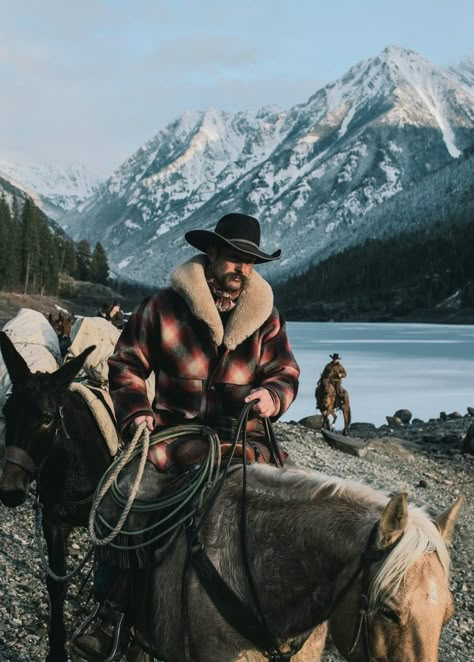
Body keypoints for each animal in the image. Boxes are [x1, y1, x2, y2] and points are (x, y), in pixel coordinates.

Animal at [0, 334, 112, 662]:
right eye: (6, 413)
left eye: (48, 418)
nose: (10, 491)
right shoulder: (53, 520)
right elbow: (56, 583)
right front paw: (57, 649)